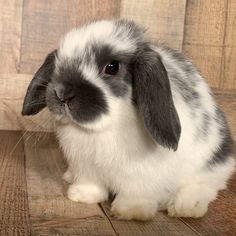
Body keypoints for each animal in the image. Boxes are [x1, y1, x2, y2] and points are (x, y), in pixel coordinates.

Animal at [21, 20, 234, 221]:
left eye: (112, 67)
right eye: (58, 63)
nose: (61, 93)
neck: (103, 128)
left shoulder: (142, 175)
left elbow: (136, 192)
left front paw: (131, 211)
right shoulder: (86, 166)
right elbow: (91, 184)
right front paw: (81, 196)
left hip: (209, 163)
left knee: (205, 184)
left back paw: (187, 207)